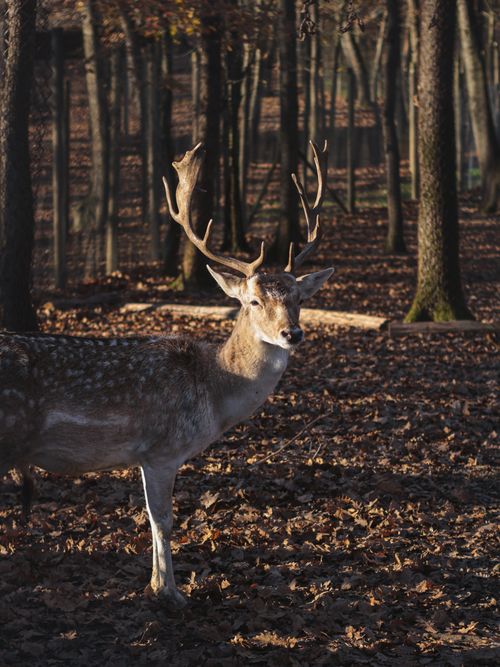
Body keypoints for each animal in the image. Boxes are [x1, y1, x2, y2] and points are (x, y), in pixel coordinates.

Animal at [0, 142, 333, 607]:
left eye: (299, 298)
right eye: (252, 301)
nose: (293, 333)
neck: (213, 392)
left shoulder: (146, 456)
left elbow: (151, 516)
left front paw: (158, 585)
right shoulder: (162, 449)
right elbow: (163, 519)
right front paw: (170, 592)